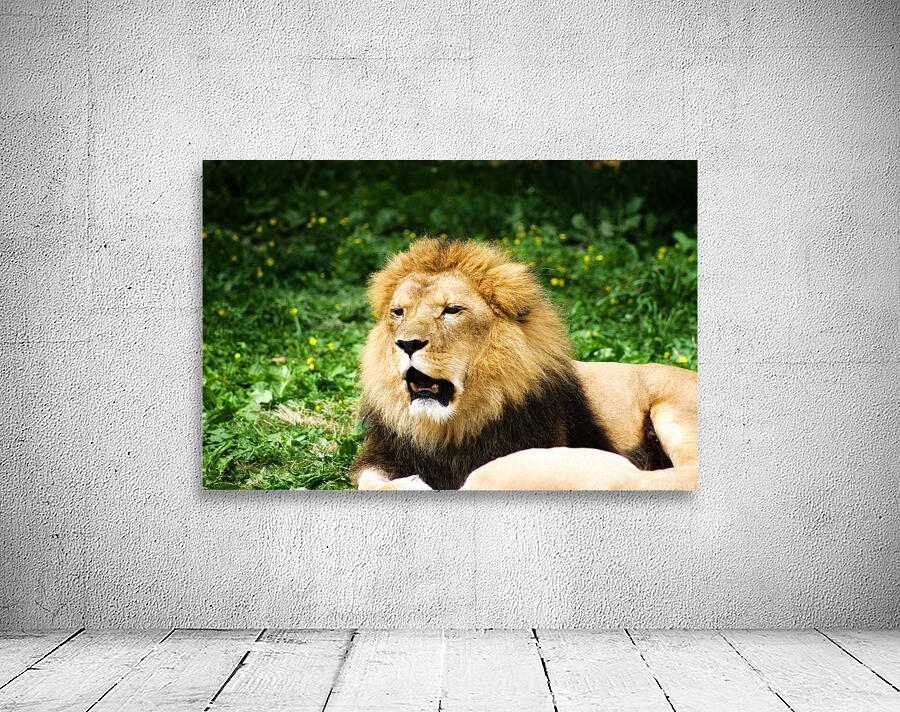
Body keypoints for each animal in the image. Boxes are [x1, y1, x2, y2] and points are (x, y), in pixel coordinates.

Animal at [352, 238, 697, 491]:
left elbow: (487, 473)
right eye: (398, 312)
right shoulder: (386, 453)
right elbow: (367, 480)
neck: (450, 428)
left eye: (452, 310)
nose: (407, 344)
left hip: (674, 412)